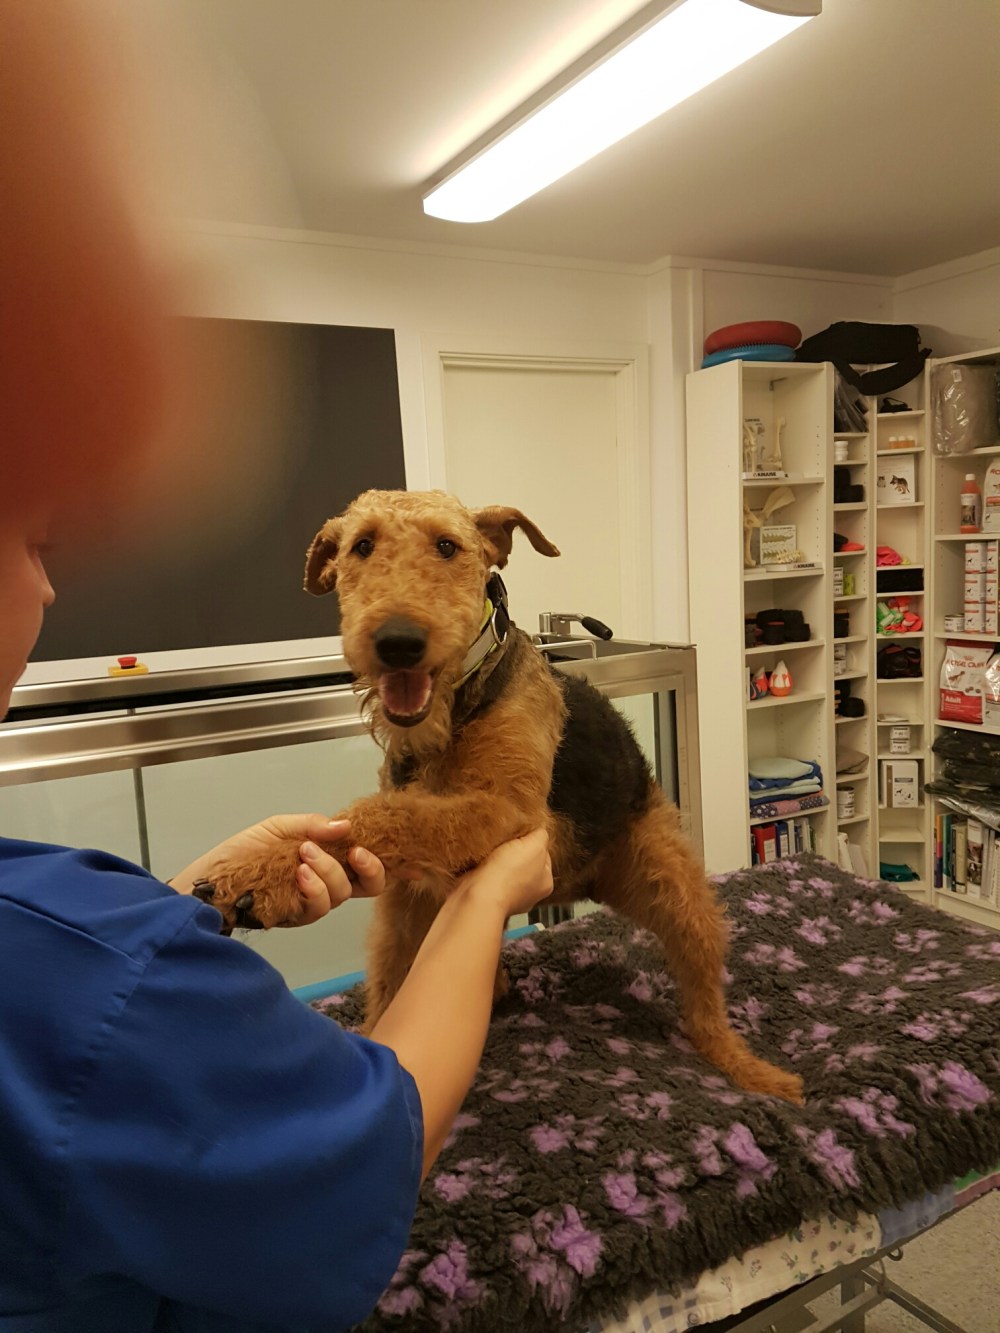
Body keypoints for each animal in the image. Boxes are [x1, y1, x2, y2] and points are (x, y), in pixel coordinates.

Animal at [204, 489, 803, 1103]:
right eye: (362, 546)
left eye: (448, 546)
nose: (397, 642)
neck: (456, 708)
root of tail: (584, 882)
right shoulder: (407, 894)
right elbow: (391, 966)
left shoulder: (506, 812)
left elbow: (380, 817)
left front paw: (261, 875)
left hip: (674, 889)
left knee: (706, 1003)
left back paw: (761, 1074)